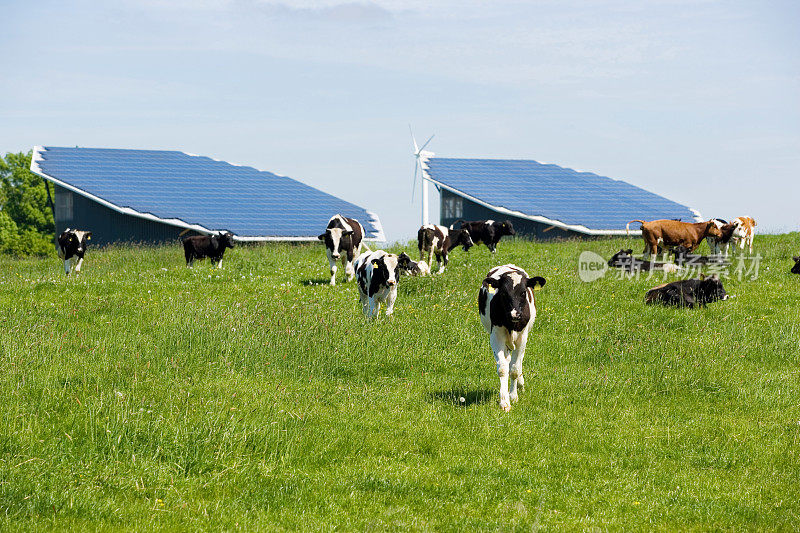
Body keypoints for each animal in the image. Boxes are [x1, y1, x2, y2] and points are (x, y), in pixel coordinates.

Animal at [478, 264, 548, 412]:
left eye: (523, 292)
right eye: (504, 293)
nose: (515, 314)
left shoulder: (522, 338)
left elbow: (514, 369)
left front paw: (513, 396)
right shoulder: (496, 336)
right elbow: (503, 368)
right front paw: (504, 401)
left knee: (518, 362)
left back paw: (520, 384)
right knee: (508, 360)